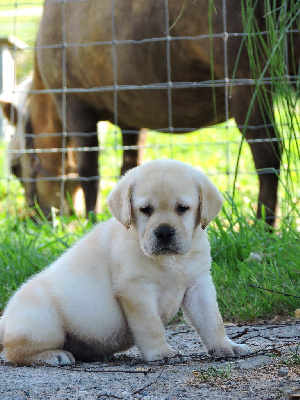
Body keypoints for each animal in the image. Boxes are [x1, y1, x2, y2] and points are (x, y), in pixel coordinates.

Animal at [0, 159, 250, 366]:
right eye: (145, 210)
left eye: (182, 208)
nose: (164, 233)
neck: (170, 260)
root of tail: (4, 320)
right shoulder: (136, 290)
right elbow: (151, 326)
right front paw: (161, 353)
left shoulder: (199, 285)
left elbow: (212, 321)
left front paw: (225, 346)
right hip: (44, 322)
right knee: (14, 352)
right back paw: (54, 355)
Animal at [1, 0, 298, 220]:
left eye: (15, 168)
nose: (35, 218)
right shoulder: (131, 119)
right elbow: (129, 167)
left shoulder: (75, 106)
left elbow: (88, 171)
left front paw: (91, 219)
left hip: (247, 85)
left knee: (268, 156)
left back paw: (264, 226)